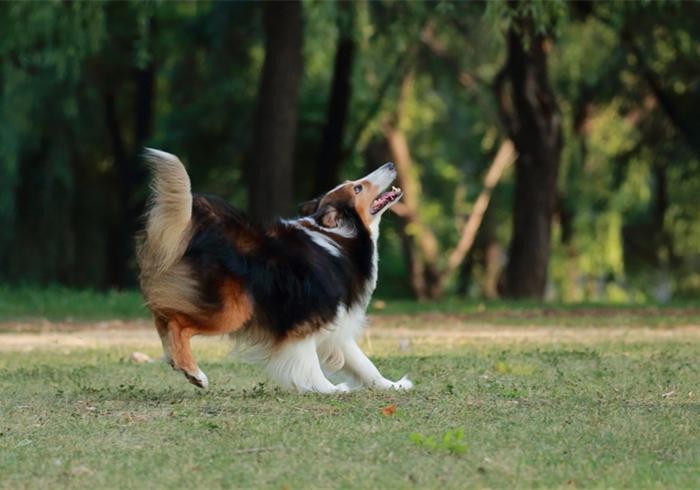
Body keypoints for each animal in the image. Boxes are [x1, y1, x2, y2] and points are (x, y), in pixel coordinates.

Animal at [136, 149, 410, 394]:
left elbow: (364, 364)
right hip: (233, 310)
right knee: (175, 320)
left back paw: (175, 359)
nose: (390, 164)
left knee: (162, 314)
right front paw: (328, 388)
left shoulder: (335, 325)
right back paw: (193, 372)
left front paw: (392, 385)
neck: (341, 238)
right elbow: (309, 362)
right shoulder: (306, 320)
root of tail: (202, 226)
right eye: (358, 188)